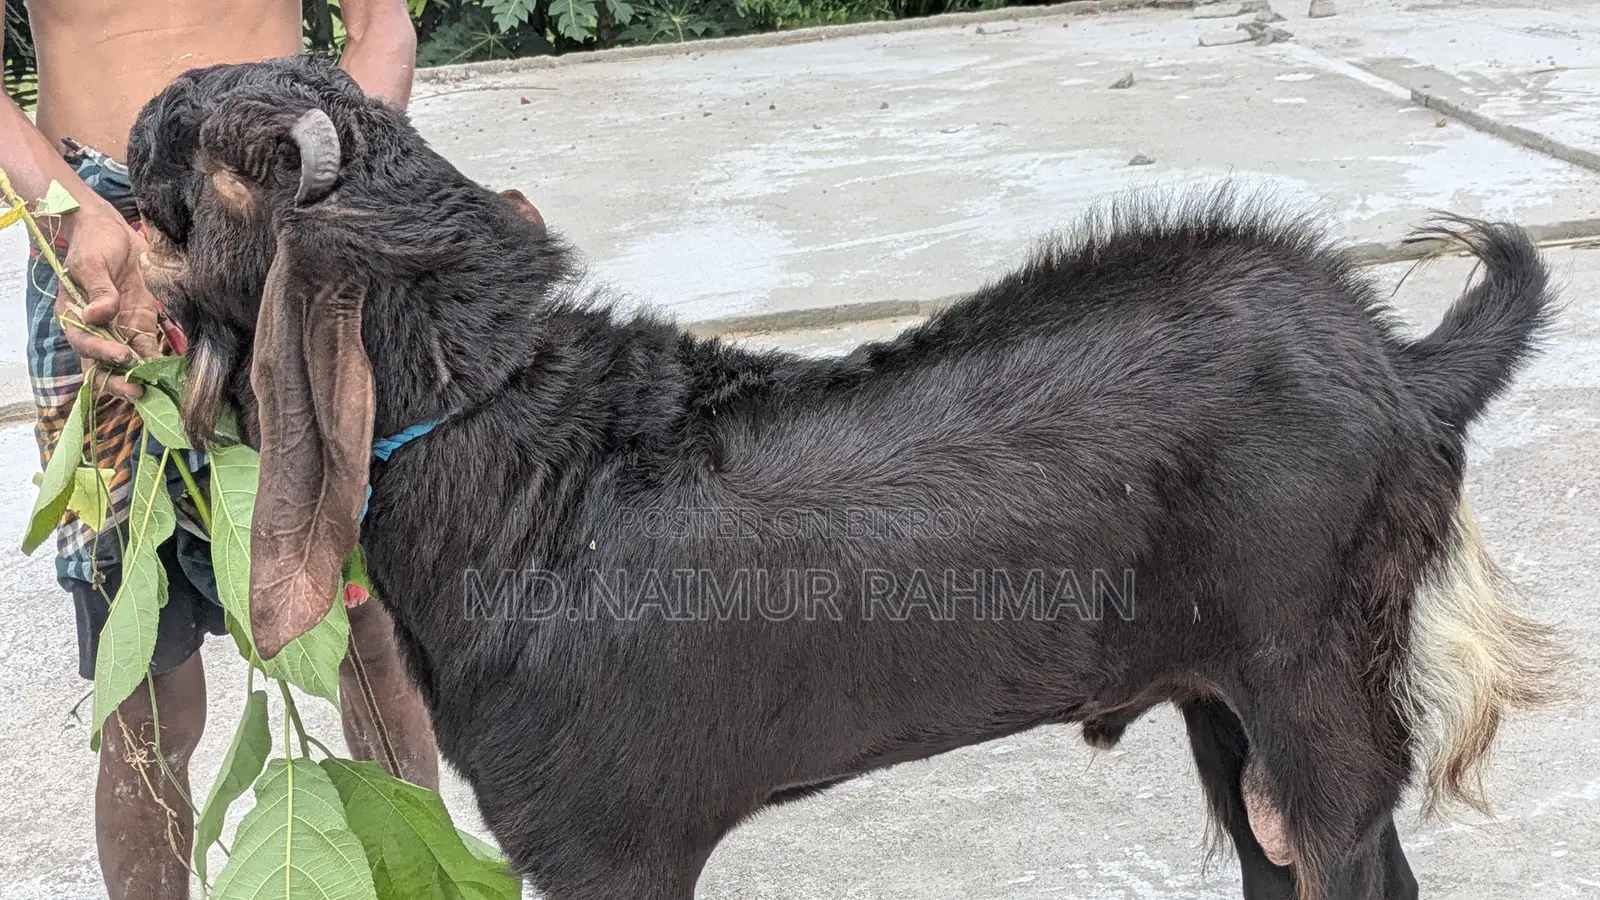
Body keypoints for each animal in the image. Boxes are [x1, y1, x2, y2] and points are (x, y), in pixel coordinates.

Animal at [127, 56, 1565, 900]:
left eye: (218, 162)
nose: (150, 105)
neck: (525, 453)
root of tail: (1403, 367)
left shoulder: (603, 836)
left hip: (1316, 668)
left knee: (1333, 844)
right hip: (1227, 687)